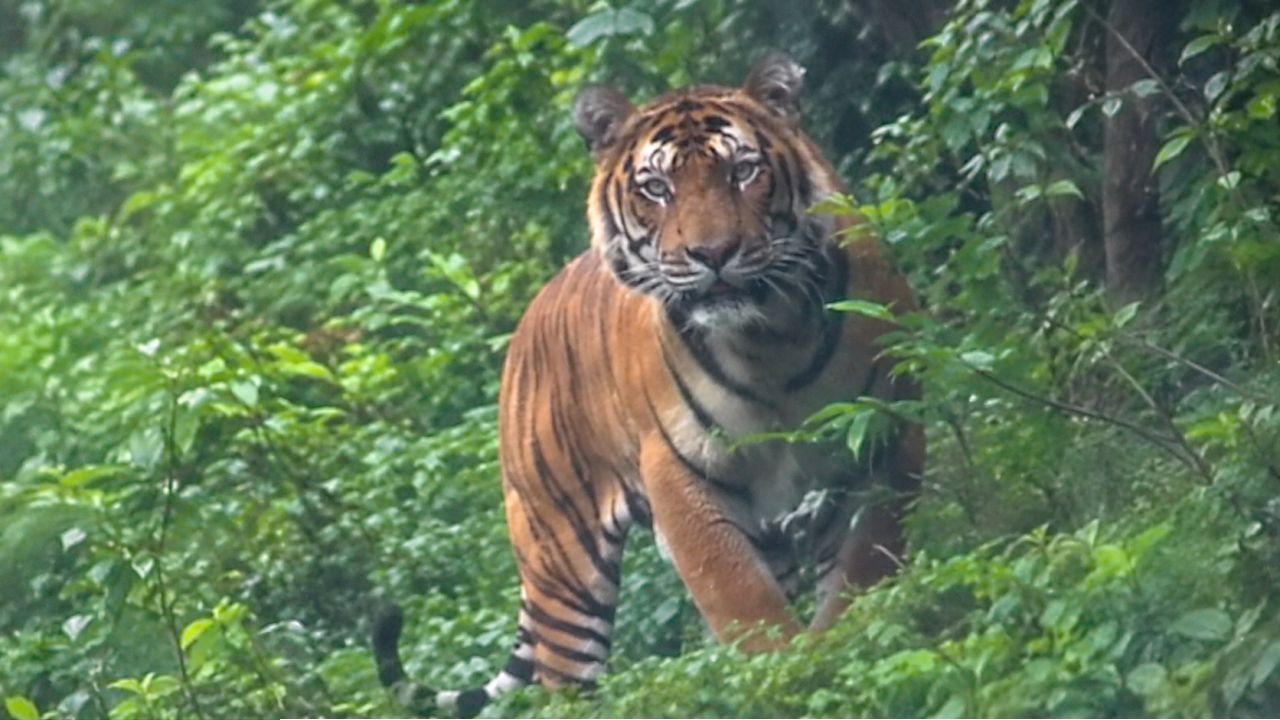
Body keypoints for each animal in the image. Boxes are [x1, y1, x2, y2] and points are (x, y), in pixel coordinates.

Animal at [372, 51, 924, 717]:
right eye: (656, 188)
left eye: (744, 171)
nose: (713, 253)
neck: (771, 338)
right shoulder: (680, 471)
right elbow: (740, 599)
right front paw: (789, 676)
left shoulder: (888, 425)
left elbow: (867, 564)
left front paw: (854, 646)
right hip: (563, 563)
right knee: (563, 679)